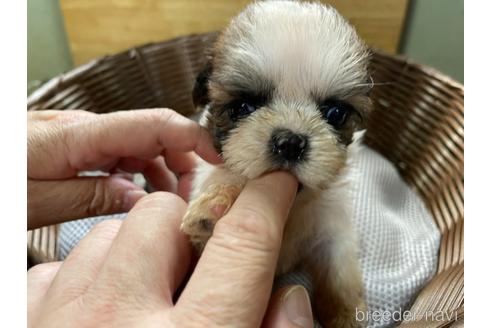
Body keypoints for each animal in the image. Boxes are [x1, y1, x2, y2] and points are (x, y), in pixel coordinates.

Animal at [183, 1, 370, 326]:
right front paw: (217, 204)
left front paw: (346, 312)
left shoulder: (331, 230)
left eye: (334, 113)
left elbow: (339, 270)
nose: (290, 142)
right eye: (242, 107)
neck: (292, 210)